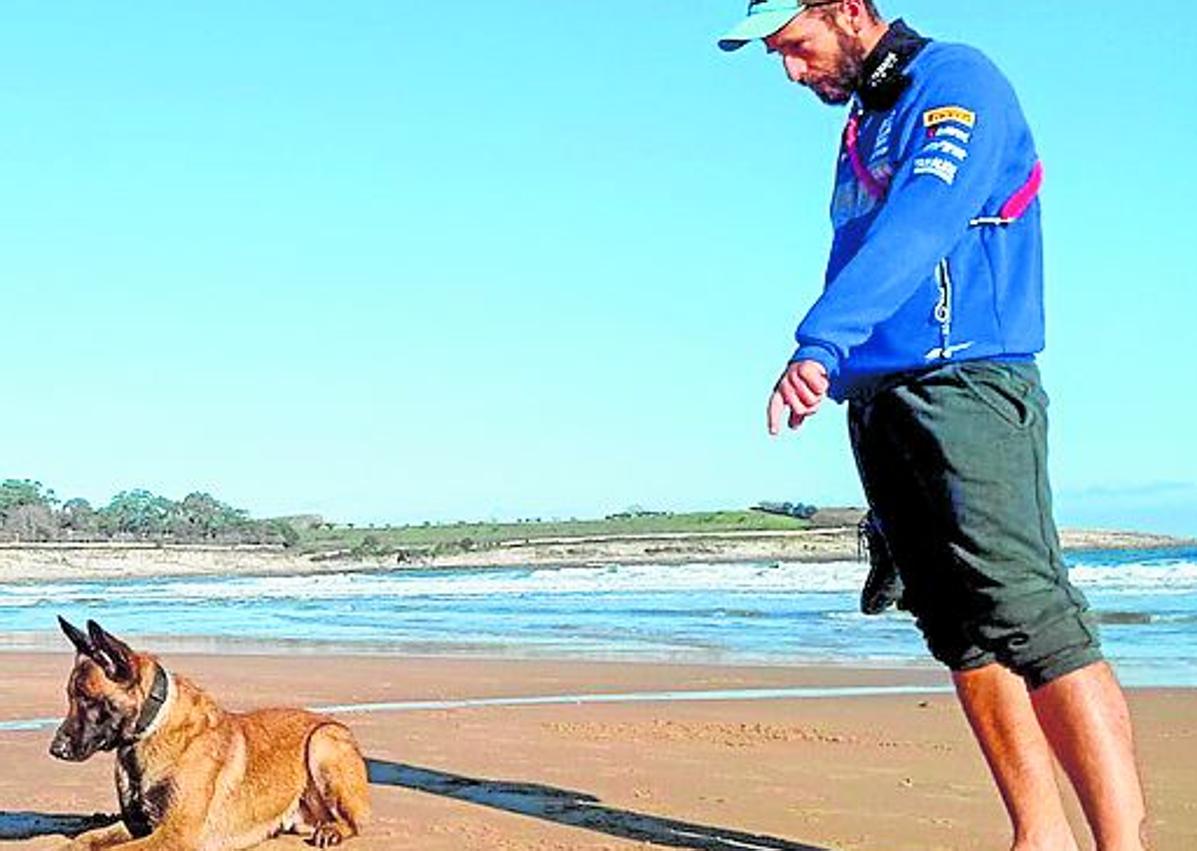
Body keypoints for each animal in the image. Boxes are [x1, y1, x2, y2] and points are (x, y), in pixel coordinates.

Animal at [49, 617, 371, 851]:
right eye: (71, 697)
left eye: (88, 699)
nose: (55, 749)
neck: (151, 729)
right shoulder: (136, 825)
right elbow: (83, 841)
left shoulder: (175, 835)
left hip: (322, 742)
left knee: (354, 821)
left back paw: (332, 830)